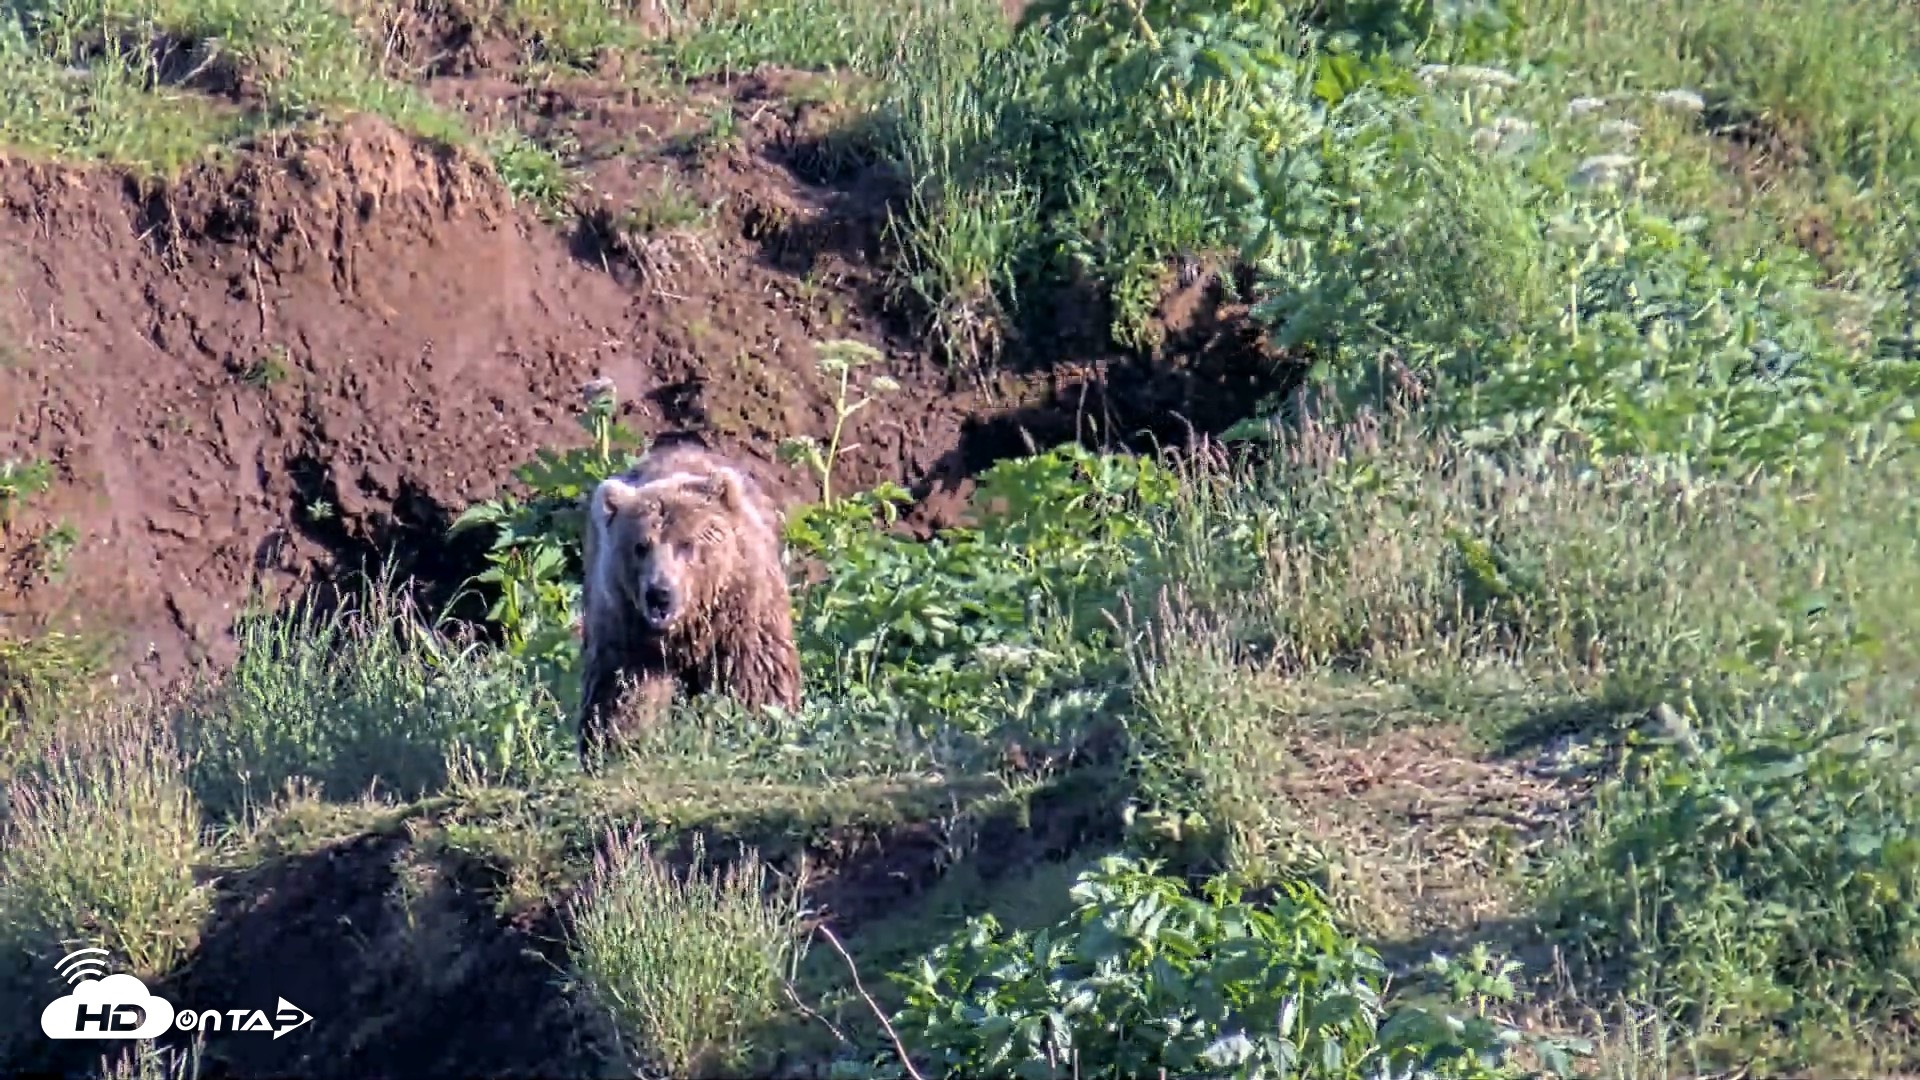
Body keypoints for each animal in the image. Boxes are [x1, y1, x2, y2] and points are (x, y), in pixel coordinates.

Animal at [576, 436, 803, 768]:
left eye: (686, 543)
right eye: (640, 546)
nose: (659, 592)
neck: (689, 626)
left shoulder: (743, 613)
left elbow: (758, 676)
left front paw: (763, 721)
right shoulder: (627, 630)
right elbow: (623, 691)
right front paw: (617, 743)